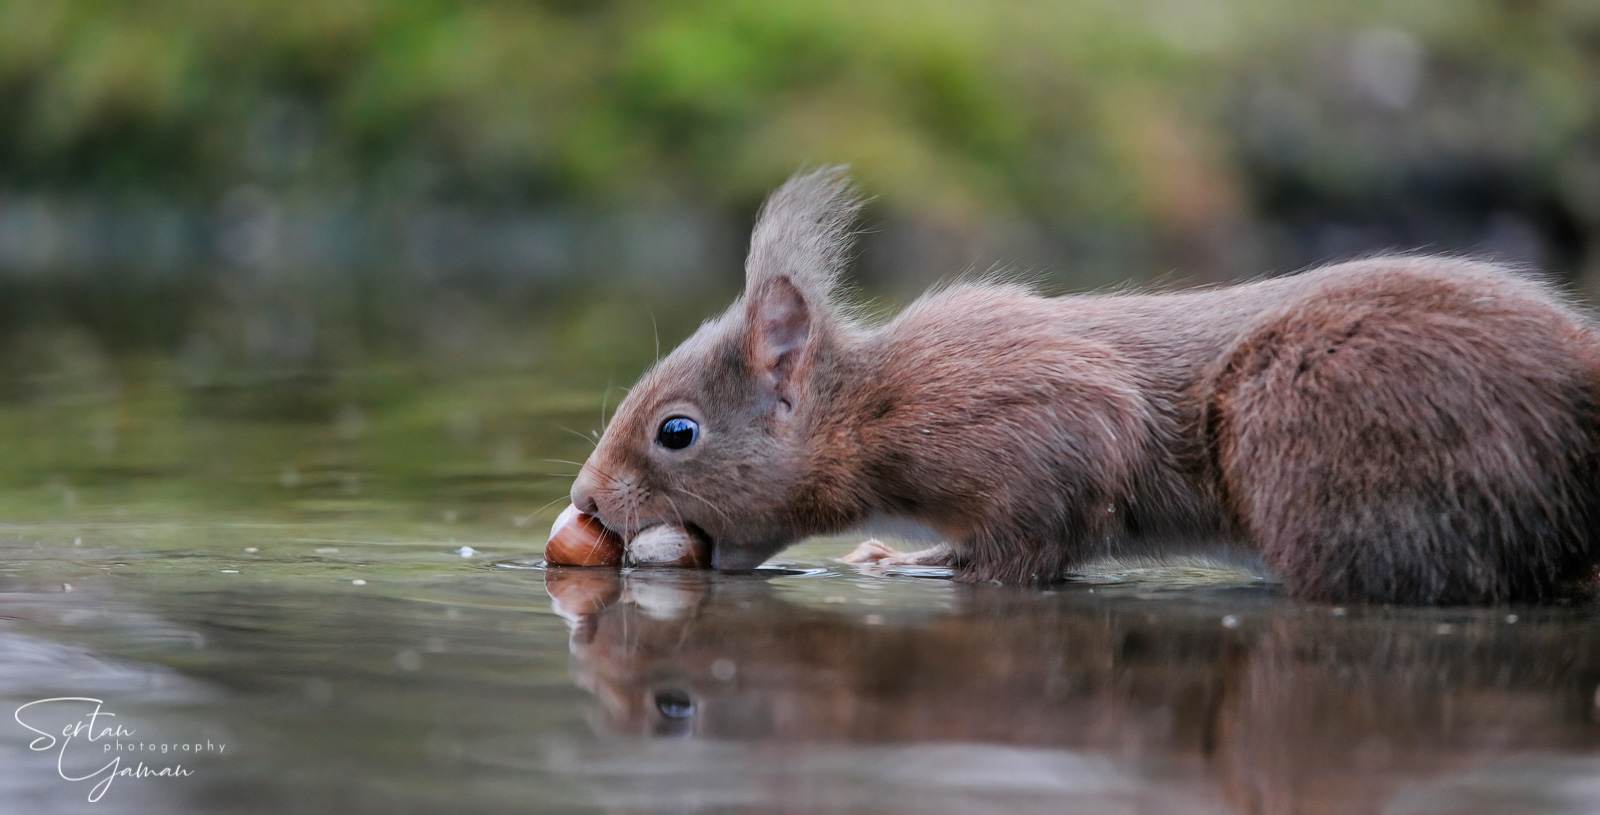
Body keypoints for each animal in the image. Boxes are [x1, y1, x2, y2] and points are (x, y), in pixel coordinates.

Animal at [570, 167, 1600, 605]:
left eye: (676, 433)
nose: (583, 501)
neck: (880, 405)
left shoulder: (1028, 418)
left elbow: (1024, 545)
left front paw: (908, 562)